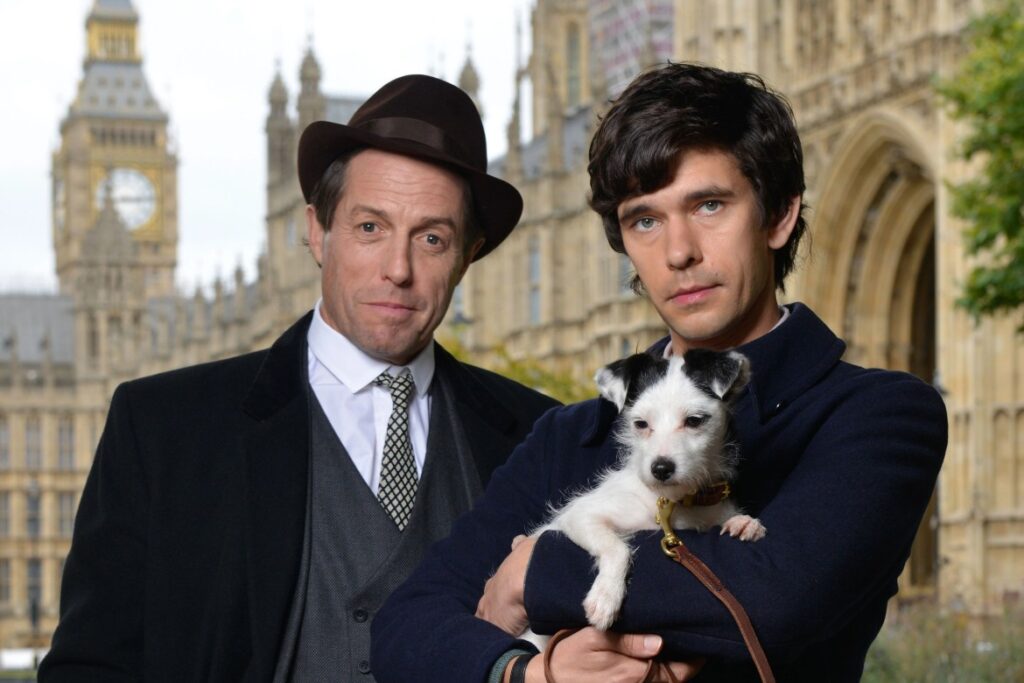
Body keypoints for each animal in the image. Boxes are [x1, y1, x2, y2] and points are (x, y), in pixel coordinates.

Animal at [521, 348, 766, 635]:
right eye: (640, 424)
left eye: (694, 421)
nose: (660, 468)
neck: (673, 503)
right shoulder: (580, 516)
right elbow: (618, 548)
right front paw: (606, 596)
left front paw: (743, 522)